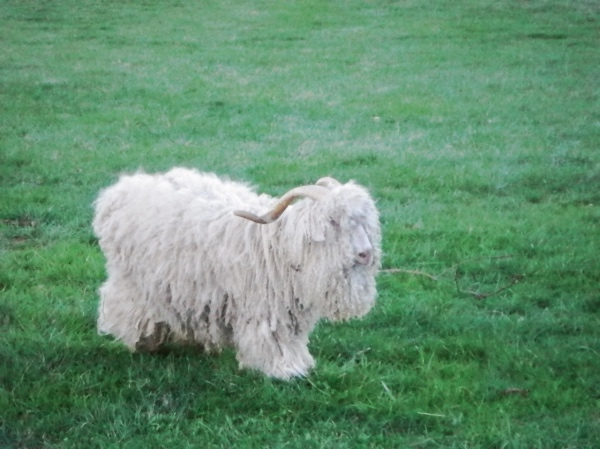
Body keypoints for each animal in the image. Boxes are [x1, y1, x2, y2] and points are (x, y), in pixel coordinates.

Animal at [96, 166, 382, 376]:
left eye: (364, 221)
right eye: (333, 221)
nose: (366, 253)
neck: (277, 246)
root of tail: (121, 191)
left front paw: (297, 364)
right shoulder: (265, 308)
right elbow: (272, 337)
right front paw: (282, 370)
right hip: (134, 282)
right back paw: (144, 342)